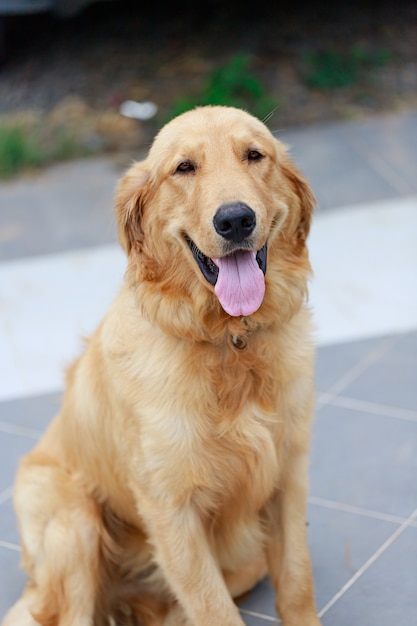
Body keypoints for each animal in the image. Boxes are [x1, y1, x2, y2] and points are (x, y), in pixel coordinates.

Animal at [3, 107, 320, 624]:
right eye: (183, 168)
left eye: (255, 155)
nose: (235, 219)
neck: (228, 341)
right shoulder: (171, 507)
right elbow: (214, 608)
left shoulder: (288, 477)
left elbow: (296, 582)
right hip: (73, 522)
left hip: (244, 560)